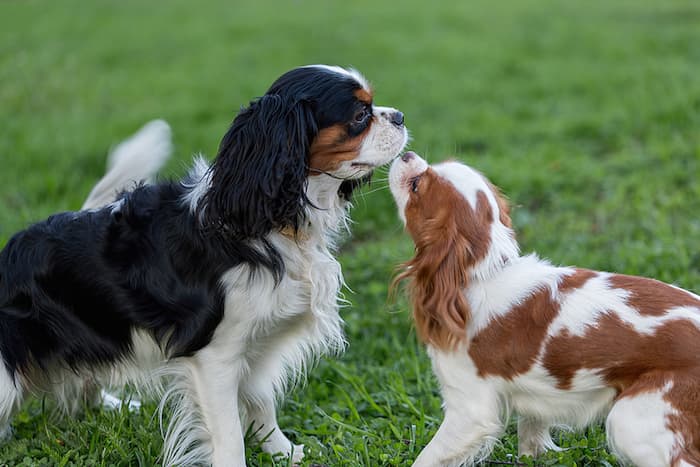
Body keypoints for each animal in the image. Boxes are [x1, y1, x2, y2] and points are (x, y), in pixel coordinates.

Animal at [0, 66, 408, 467]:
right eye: (359, 116)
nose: (400, 116)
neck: (271, 223)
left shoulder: (257, 343)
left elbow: (261, 402)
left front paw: (283, 451)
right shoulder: (215, 356)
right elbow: (228, 435)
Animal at [388, 152, 700, 466]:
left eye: (416, 186)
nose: (406, 154)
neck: (485, 271)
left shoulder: (469, 409)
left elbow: (428, 457)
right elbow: (531, 435)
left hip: (633, 419)